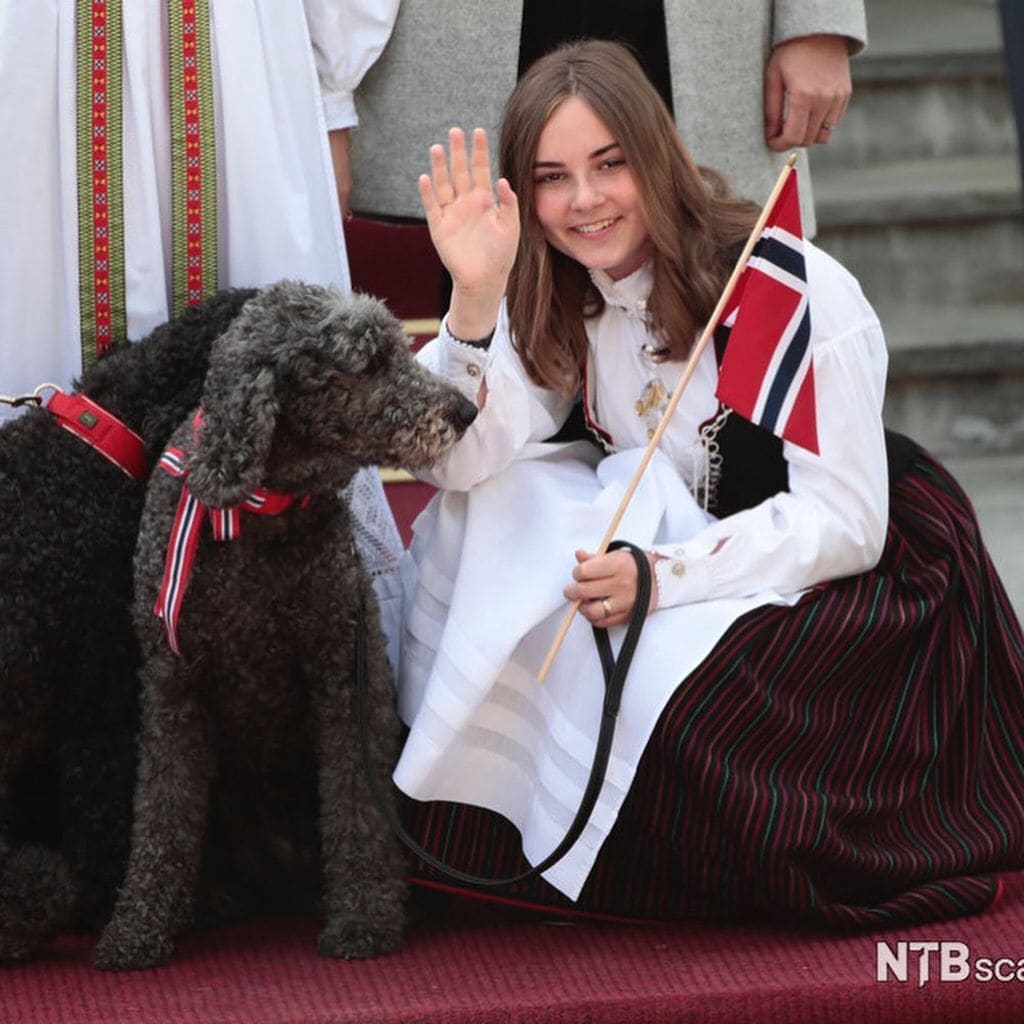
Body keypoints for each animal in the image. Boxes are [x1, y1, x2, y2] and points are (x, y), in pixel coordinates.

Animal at [94, 280, 477, 966]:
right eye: (369, 363)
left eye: (395, 346)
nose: (465, 409)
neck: (258, 508)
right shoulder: (171, 688)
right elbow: (162, 809)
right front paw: (137, 924)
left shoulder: (345, 673)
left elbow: (357, 804)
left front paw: (365, 917)